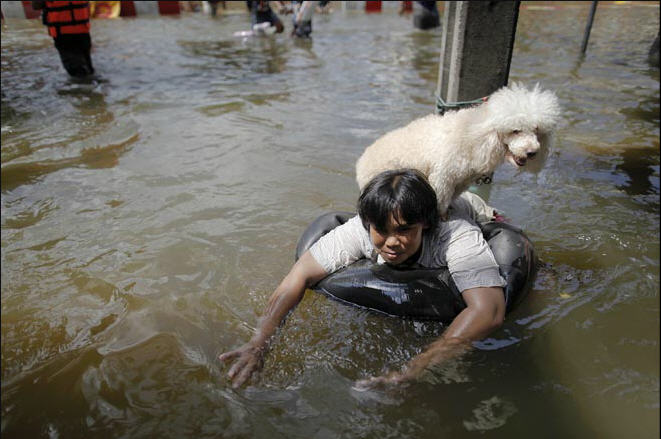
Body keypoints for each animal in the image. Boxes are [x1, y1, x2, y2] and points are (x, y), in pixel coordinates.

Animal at [355, 82, 560, 218]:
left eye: (536, 131)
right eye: (515, 130)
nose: (532, 152)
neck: (475, 135)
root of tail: (361, 164)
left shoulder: (460, 180)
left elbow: (451, 198)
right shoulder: (443, 177)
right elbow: (441, 199)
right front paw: (442, 217)